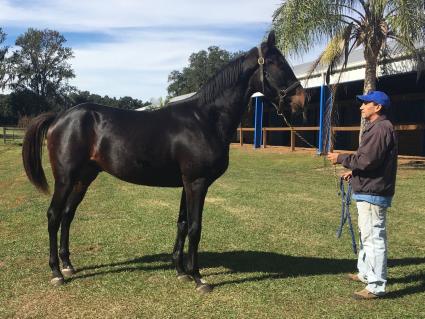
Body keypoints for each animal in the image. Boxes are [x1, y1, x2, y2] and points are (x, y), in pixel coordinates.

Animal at [21, 31, 304, 294]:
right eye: (277, 63)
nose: (302, 100)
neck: (204, 119)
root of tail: (60, 117)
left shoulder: (187, 183)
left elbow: (182, 224)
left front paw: (181, 271)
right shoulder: (197, 182)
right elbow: (195, 228)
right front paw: (199, 278)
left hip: (84, 177)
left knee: (68, 215)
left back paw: (68, 264)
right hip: (65, 178)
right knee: (54, 215)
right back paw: (57, 272)